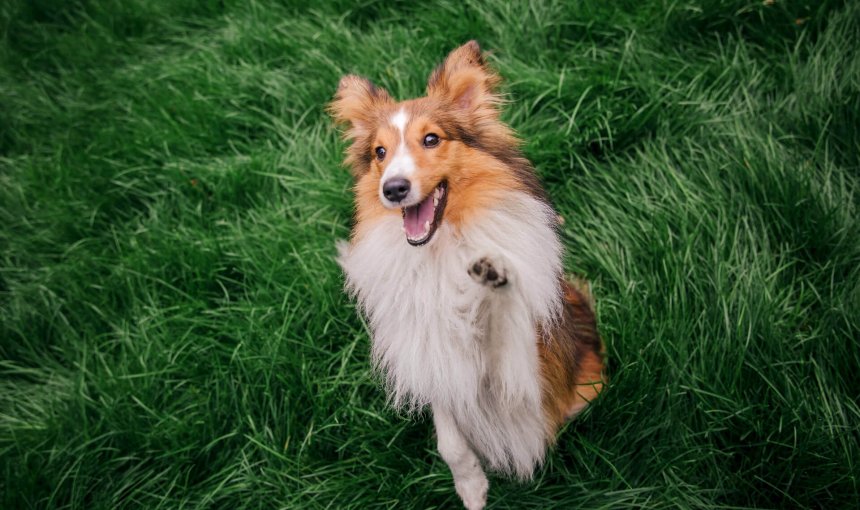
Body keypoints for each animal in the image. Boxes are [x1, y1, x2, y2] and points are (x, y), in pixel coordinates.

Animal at [328, 40, 604, 510]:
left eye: (431, 139)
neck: (443, 249)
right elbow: (450, 440)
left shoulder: (526, 373)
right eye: (380, 152)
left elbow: (502, 322)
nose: (393, 189)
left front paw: (496, 276)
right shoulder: (429, 348)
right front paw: (472, 489)